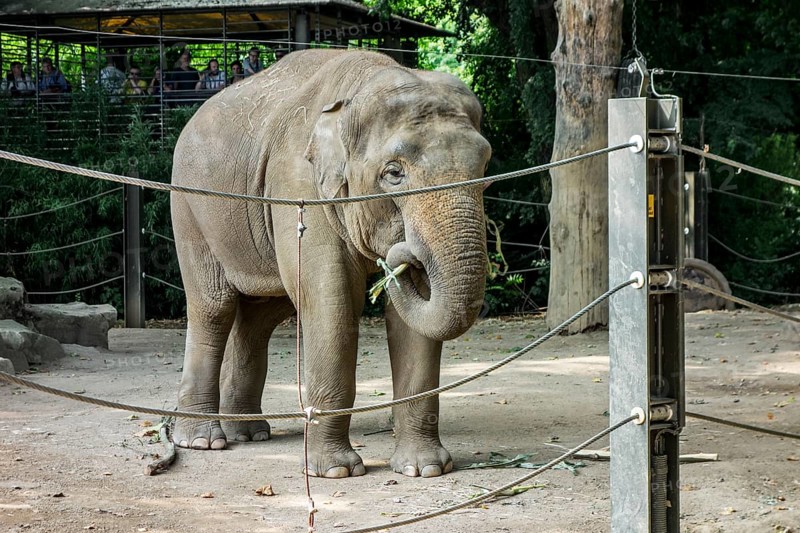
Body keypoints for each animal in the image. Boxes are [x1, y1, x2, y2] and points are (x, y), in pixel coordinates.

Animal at [170, 49, 491, 478]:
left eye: (485, 168)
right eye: (394, 173)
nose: (401, 257)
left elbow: (413, 322)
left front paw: (423, 470)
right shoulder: (298, 186)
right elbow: (330, 299)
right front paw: (336, 471)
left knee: (258, 318)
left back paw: (251, 433)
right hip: (190, 207)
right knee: (214, 307)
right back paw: (204, 441)